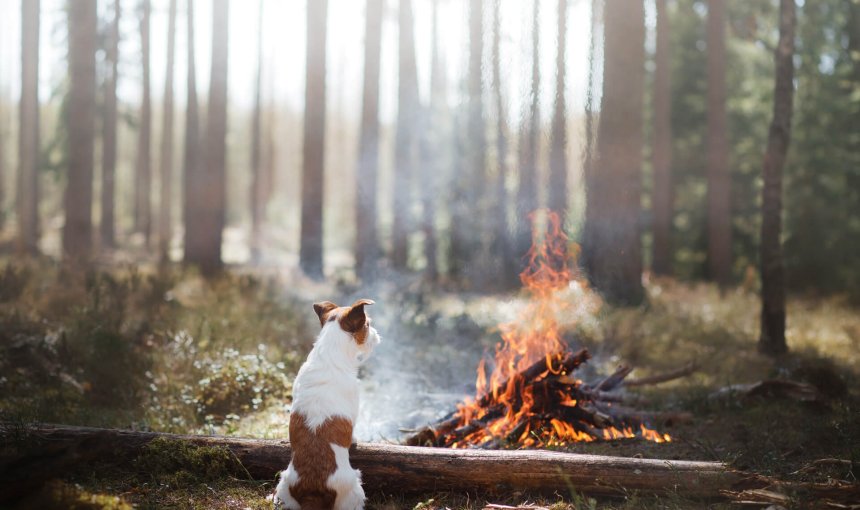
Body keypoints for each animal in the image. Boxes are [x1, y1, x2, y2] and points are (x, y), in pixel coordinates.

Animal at [276, 298, 382, 510]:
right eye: (367, 325)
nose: (377, 335)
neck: (328, 355)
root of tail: (312, 492)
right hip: (355, 487)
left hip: (284, 483)